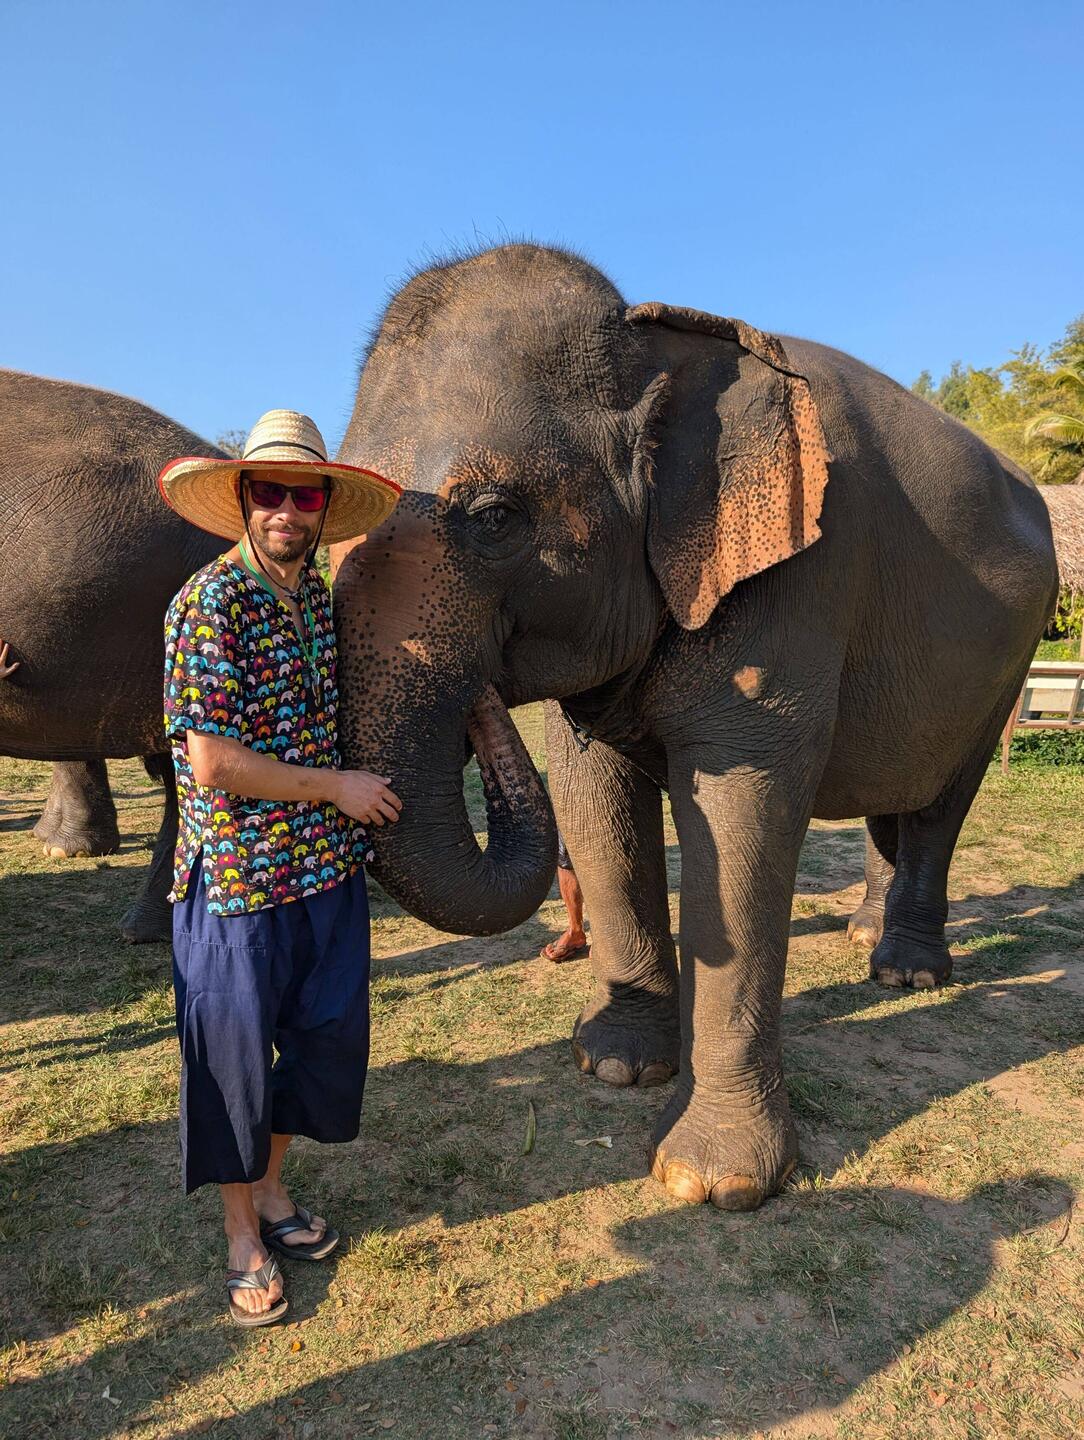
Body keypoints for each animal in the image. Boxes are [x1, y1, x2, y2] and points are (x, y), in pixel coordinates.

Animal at [329, 243, 1057, 1212]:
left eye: (493, 518)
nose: (482, 700)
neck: (661, 339)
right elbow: (593, 793)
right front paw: (614, 1066)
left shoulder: (797, 578)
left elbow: (739, 810)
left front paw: (712, 1184)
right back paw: (864, 939)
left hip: (1010, 659)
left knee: (943, 799)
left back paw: (906, 973)